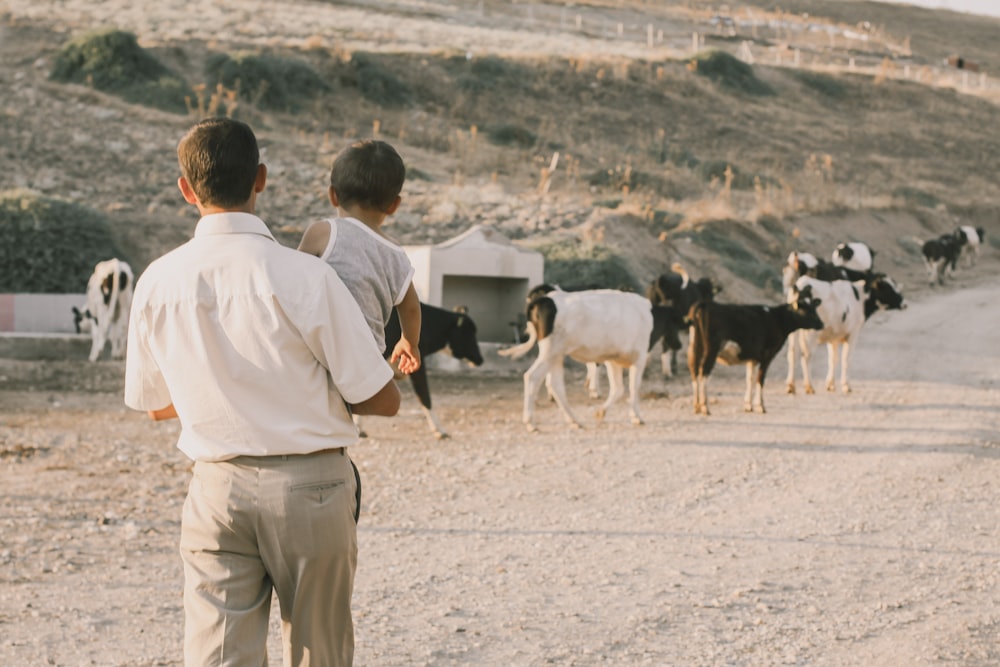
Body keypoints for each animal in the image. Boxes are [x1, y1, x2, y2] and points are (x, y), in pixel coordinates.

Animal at [500, 288, 656, 434]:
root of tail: (546, 298)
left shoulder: (613, 359)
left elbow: (618, 389)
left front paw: (601, 412)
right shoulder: (640, 356)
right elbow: (634, 388)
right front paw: (636, 417)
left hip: (556, 355)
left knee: (555, 384)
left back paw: (574, 420)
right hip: (550, 351)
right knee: (533, 376)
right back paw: (531, 423)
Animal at [684, 288, 824, 414]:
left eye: (814, 307)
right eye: (806, 310)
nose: (821, 324)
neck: (777, 319)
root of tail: (706, 303)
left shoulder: (752, 357)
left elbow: (749, 379)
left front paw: (748, 405)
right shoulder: (767, 355)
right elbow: (760, 379)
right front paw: (760, 406)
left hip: (694, 348)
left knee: (694, 371)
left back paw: (696, 406)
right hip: (711, 350)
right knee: (703, 373)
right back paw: (704, 406)